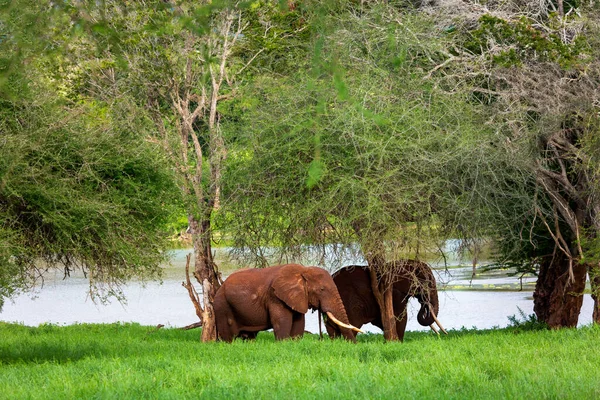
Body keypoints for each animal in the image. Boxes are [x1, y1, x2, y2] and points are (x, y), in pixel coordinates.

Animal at [213, 264, 364, 342]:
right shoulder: (275, 296)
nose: (354, 344)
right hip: (222, 306)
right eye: (322, 289)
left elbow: (298, 323)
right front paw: (283, 342)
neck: (303, 270)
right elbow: (282, 322)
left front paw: (295, 342)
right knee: (227, 336)